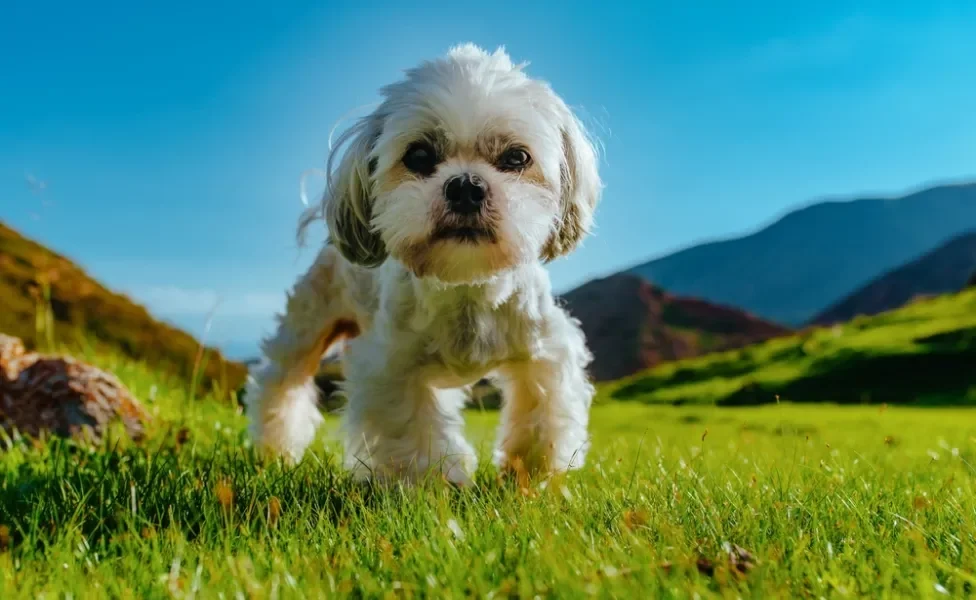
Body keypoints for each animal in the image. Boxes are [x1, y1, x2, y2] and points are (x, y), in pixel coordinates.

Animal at [244, 44, 604, 486]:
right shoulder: (390, 366)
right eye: (418, 155)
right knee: (279, 381)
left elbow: (543, 411)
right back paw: (275, 450)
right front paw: (433, 481)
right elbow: (410, 426)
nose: (466, 185)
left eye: (517, 157)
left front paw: (531, 474)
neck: (466, 287)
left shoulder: (545, 350)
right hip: (307, 325)